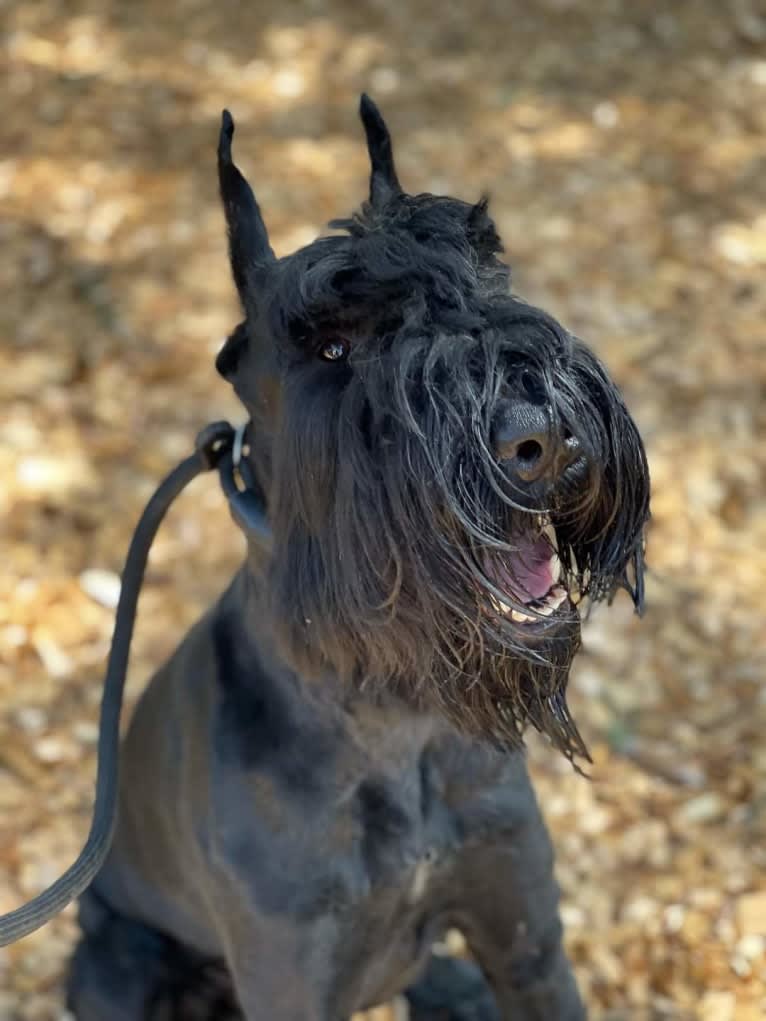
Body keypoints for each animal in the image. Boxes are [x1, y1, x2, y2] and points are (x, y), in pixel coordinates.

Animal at [67, 97, 649, 1021]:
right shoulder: (293, 977)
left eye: (487, 275)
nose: (546, 435)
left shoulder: (526, 942)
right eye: (332, 349)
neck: (393, 710)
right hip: (111, 960)